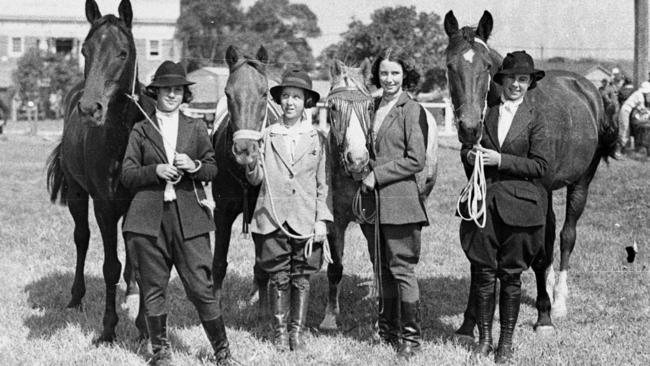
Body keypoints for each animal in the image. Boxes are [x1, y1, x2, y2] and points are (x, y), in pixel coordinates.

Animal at [45, 0, 148, 344]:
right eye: (84, 50)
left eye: (123, 52)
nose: (91, 109)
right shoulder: (104, 207)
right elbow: (109, 266)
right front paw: (108, 328)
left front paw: (143, 324)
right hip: (78, 195)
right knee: (81, 238)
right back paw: (76, 297)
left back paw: (131, 290)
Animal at [442, 10, 616, 334]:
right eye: (449, 65)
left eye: (486, 66)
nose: (470, 128)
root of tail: (589, 90)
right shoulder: (479, 188)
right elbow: (479, 255)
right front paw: (469, 322)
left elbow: (544, 250)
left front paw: (544, 316)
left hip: (579, 183)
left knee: (565, 236)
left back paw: (557, 301)